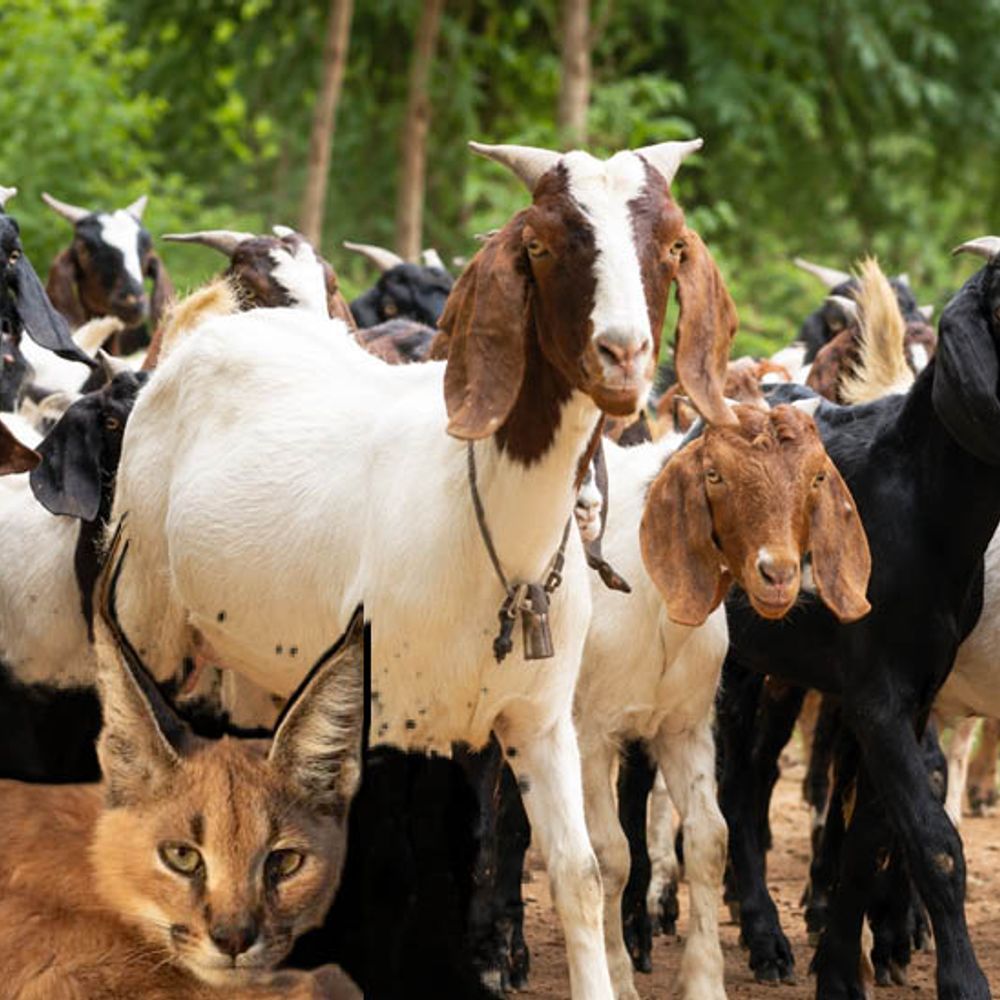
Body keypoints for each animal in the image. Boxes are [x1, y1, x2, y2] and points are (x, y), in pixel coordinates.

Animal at [108, 137, 737, 999]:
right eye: (540, 244)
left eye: (672, 246)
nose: (624, 354)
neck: (487, 530)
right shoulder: (383, 723)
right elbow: (388, 874)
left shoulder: (541, 719)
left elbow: (578, 872)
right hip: (152, 618)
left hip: (264, 661)